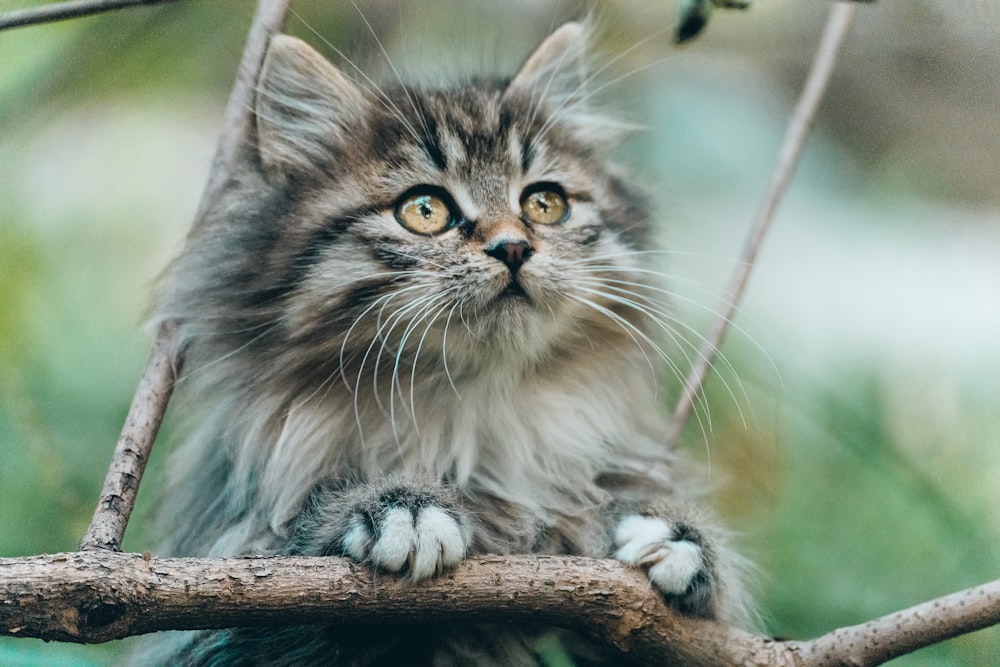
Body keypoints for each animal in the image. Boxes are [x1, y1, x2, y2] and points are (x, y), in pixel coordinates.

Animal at [146, 20, 752, 667]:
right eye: (425, 210)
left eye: (544, 203)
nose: (513, 247)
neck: (474, 419)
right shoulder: (218, 602)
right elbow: (294, 548)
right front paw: (401, 507)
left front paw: (676, 536)